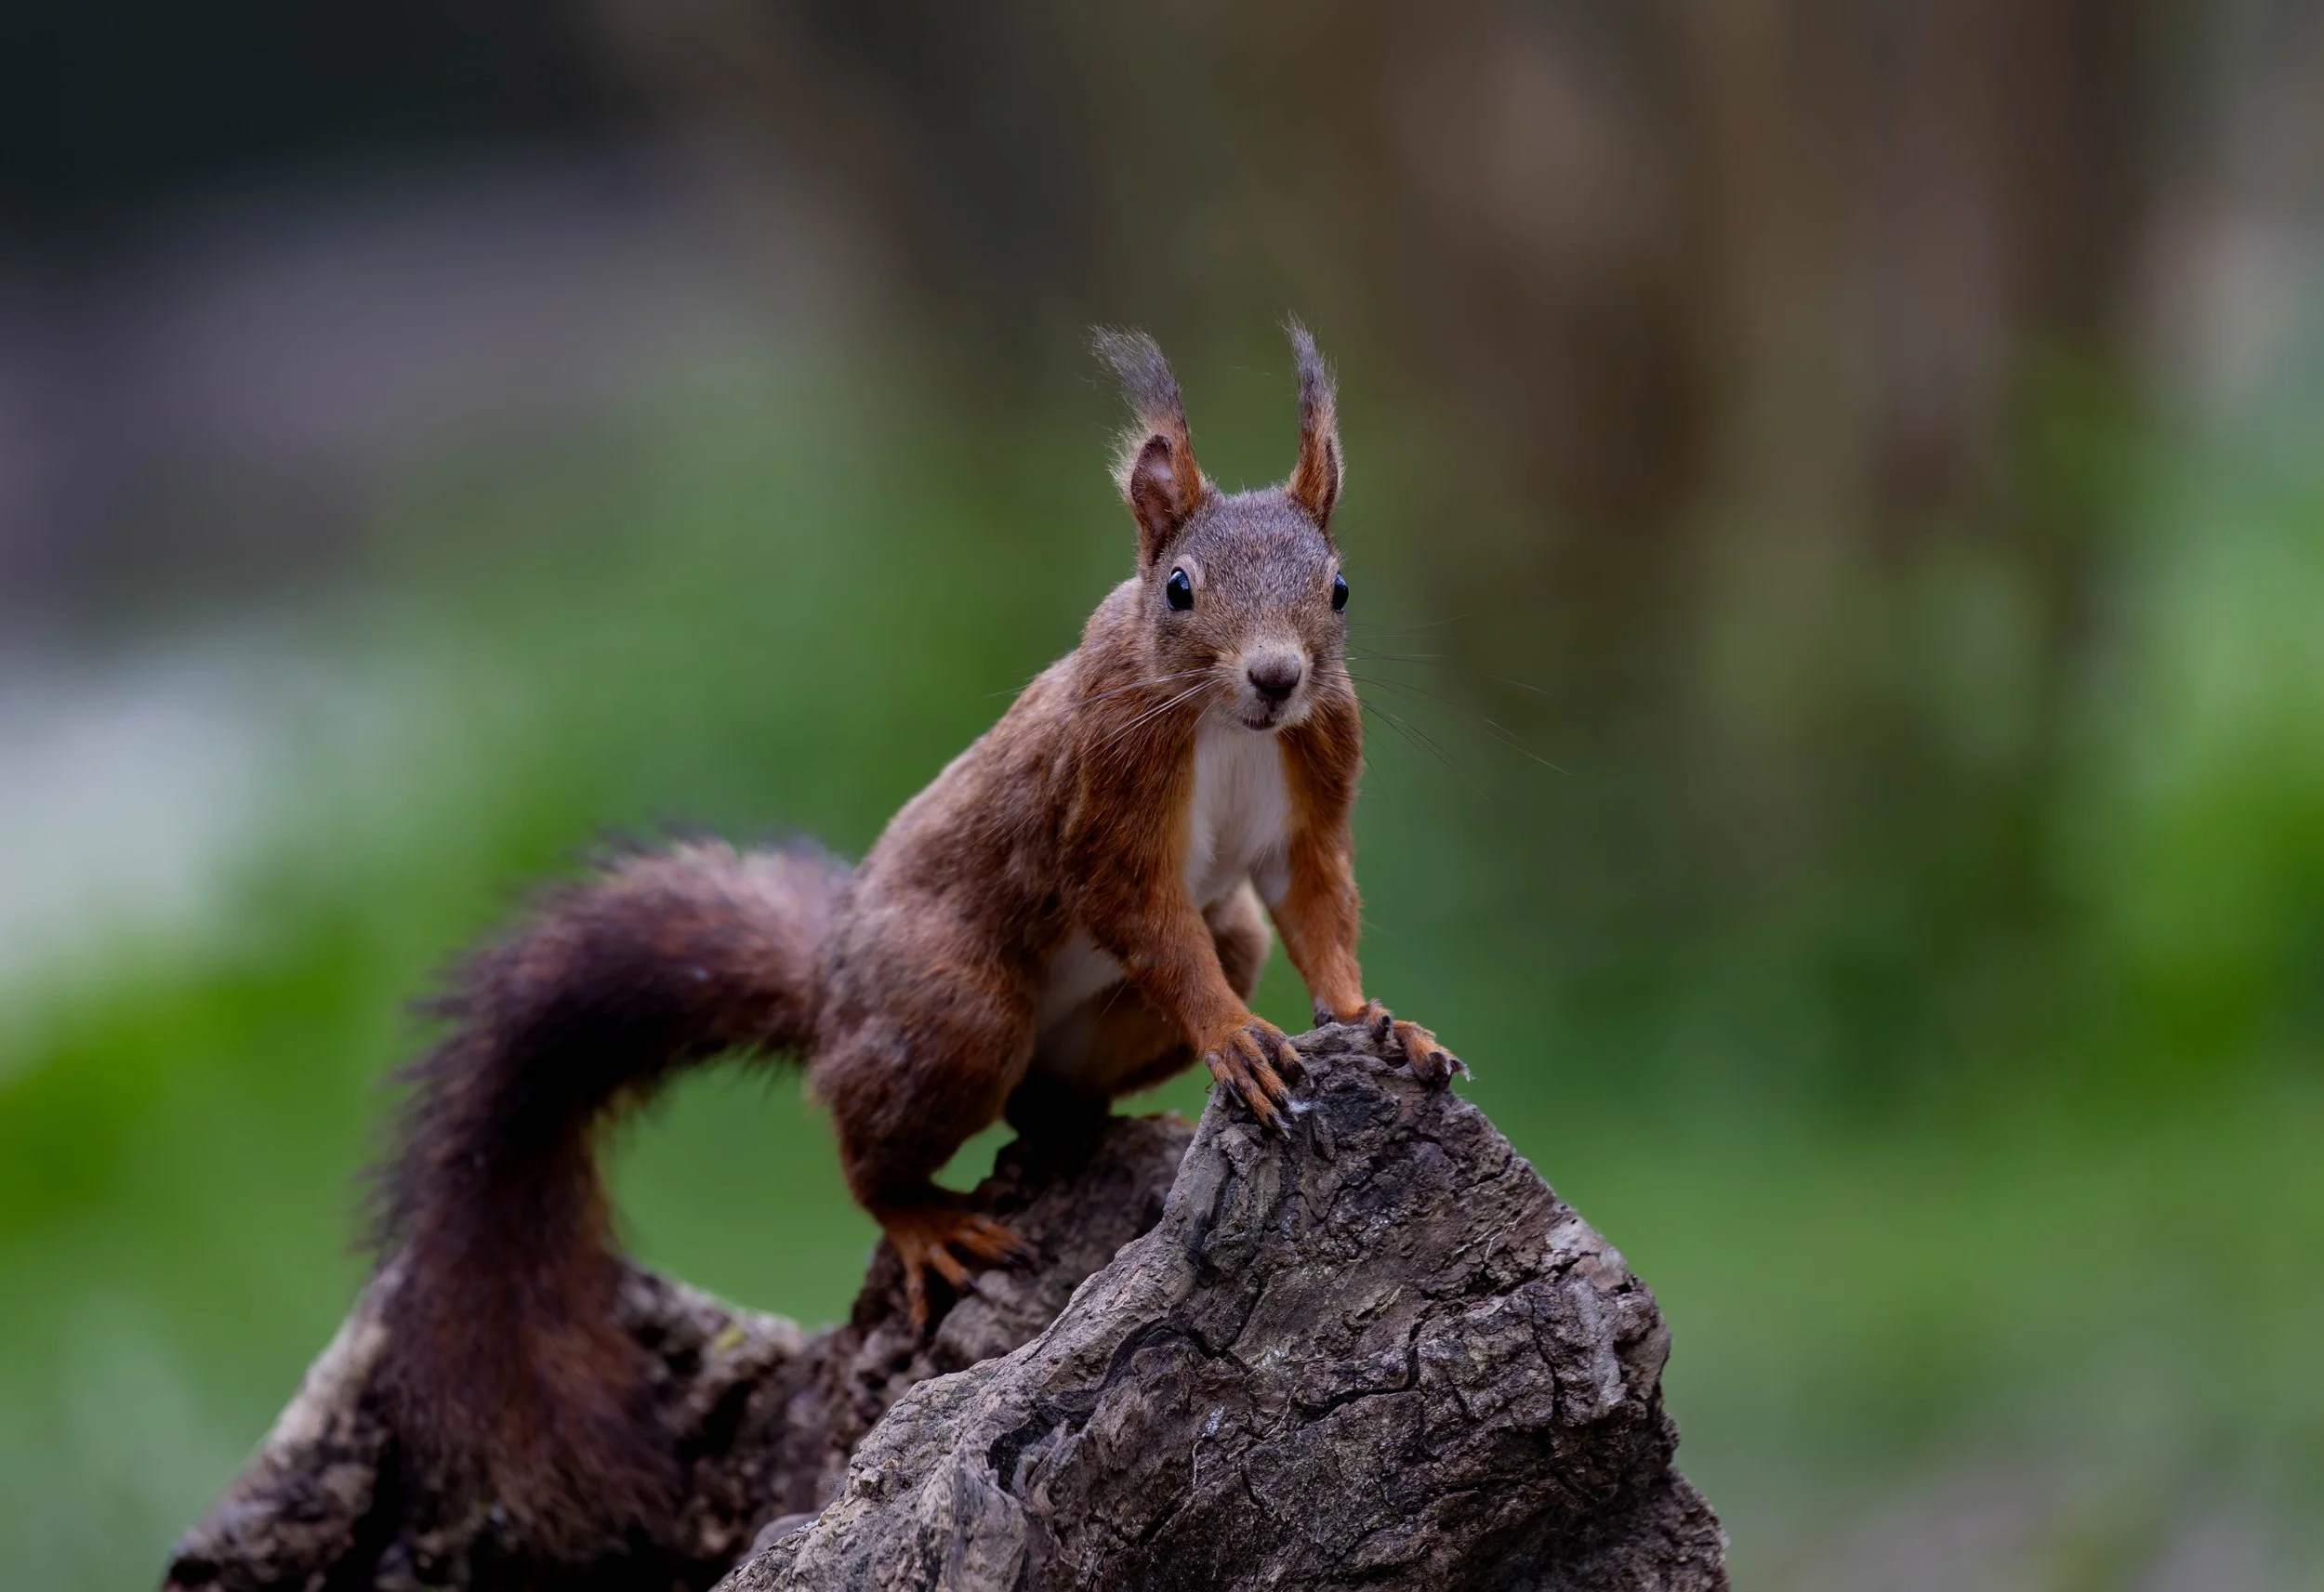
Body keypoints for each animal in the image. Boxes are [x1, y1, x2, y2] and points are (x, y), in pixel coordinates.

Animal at [369, 321, 1461, 1554]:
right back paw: (928, 1220)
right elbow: (1147, 923)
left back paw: (1102, 1124)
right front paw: (1237, 1042)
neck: (1224, 725)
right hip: (950, 1013)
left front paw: (1380, 1023)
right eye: (1180, 588)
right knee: (882, 1140)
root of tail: (831, 986)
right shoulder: (1103, 798)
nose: (1275, 676)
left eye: (1338, 587)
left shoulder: (1313, 785)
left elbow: (1317, 906)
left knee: (1068, 1082)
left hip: (1184, 958)